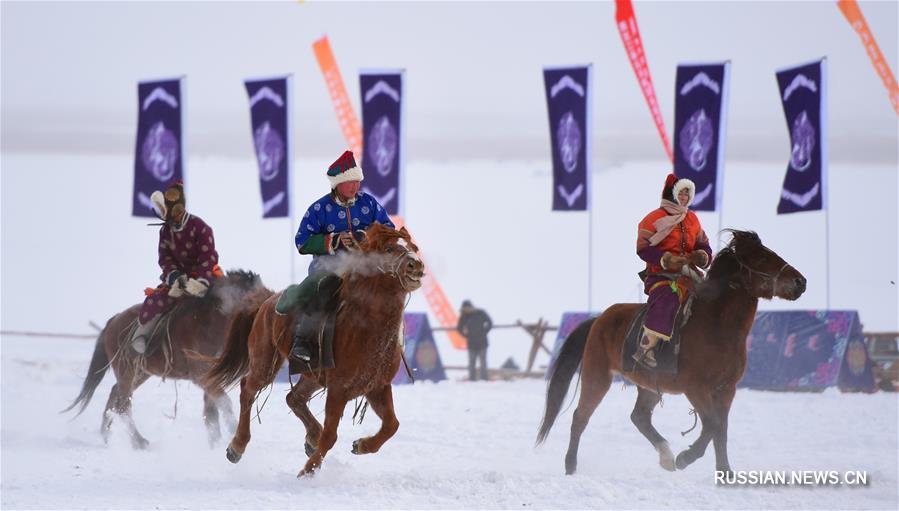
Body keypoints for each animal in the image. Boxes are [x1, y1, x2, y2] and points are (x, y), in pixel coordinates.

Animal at [65, 270, 272, 450]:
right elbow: (224, 405)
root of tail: (113, 321)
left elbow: (211, 413)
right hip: (126, 371)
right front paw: (232, 433)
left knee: (115, 396)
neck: (209, 324)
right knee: (123, 404)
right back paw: (138, 441)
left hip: (140, 373)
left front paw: (215, 444)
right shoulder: (202, 377)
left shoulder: (212, 378)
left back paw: (107, 436)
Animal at [204, 224, 426, 476]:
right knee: (248, 390)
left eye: (414, 246)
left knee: (294, 398)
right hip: (265, 362)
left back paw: (311, 437)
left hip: (313, 375)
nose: (416, 265)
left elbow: (392, 425)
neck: (365, 328)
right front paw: (307, 471)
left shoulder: (377, 387)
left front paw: (361, 445)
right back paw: (237, 446)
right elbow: (330, 436)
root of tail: (266, 302)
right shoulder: (339, 389)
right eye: (389, 249)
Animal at [536, 232, 804, 476]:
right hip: (597, 376)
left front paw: (724, 472)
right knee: (580, 417)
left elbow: (721, 430)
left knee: (639, 416)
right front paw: (686, 457)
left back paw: (665, 456)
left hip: (649, 385)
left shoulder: (727, 389)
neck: (715, 326)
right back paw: (571, 466)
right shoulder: (696, 388)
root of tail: (599, 319)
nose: (800, 282)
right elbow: (712, 425)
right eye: (761, 257)